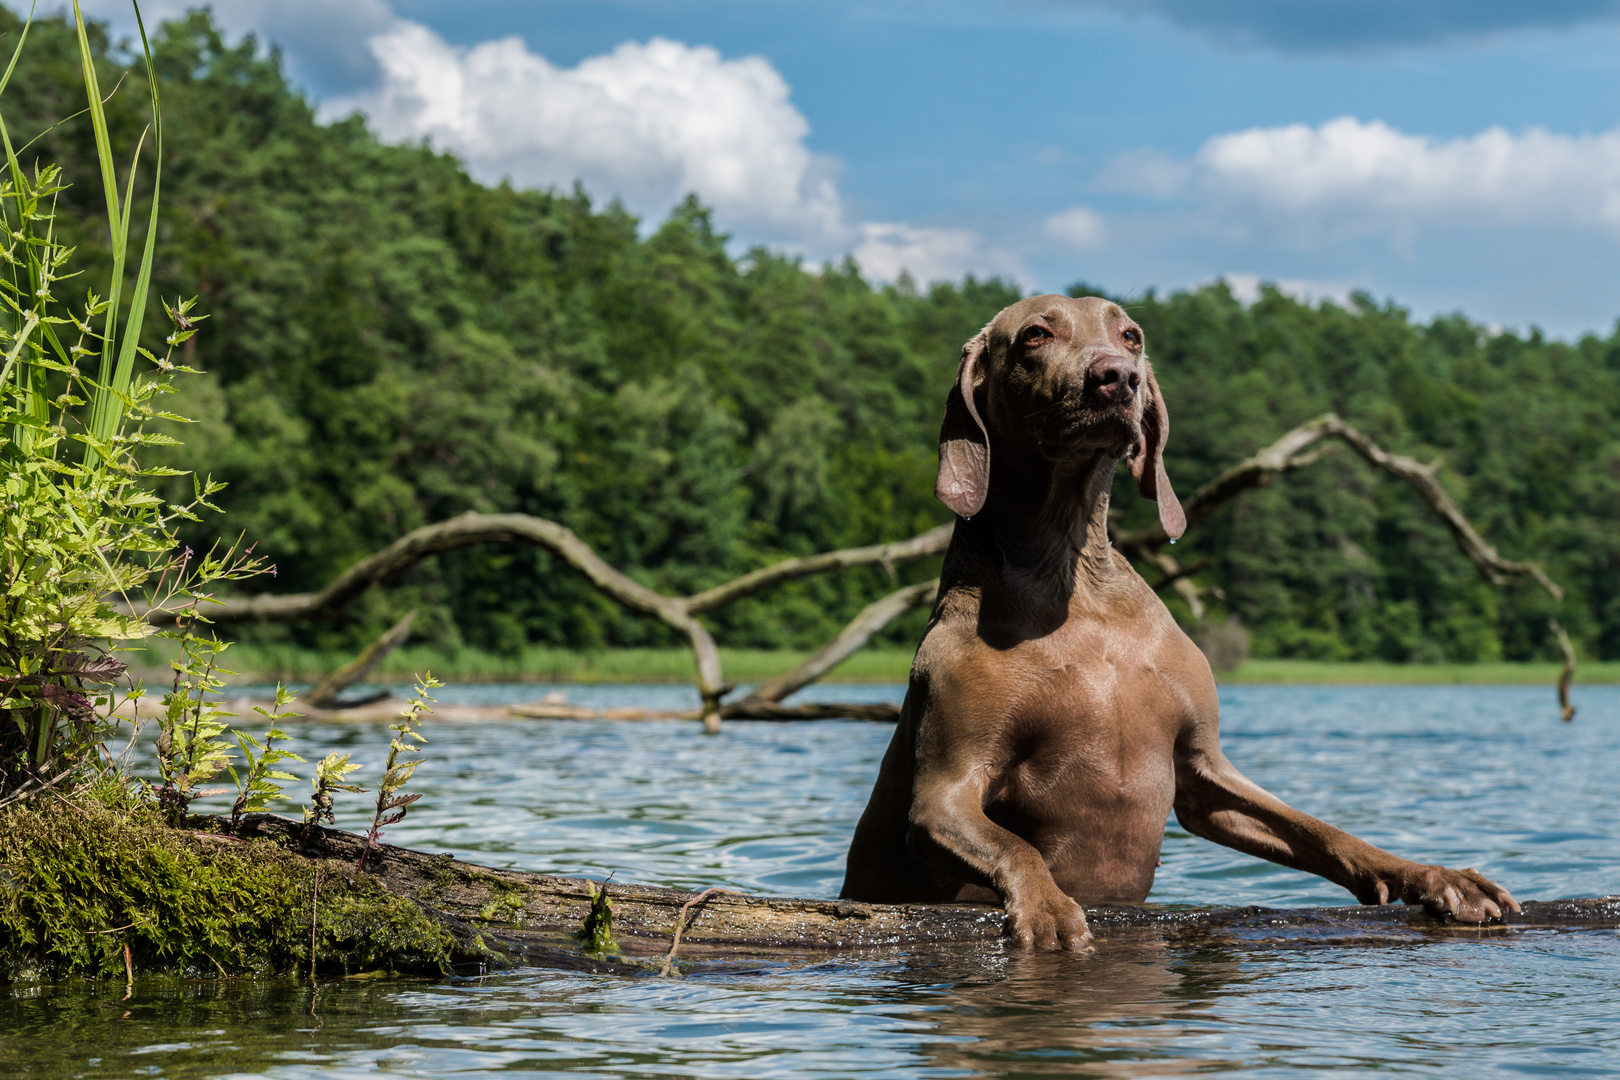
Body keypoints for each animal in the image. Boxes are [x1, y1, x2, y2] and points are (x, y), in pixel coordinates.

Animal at [842, 293, 1522, 945]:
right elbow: (1015, 845)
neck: (1072, 580)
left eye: (1130, 336)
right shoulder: (943, 796)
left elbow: (1320, 829)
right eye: (1036, 334)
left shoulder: (1202, 768)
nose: (1117, 377)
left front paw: (1429, 874)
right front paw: (1046, 905)